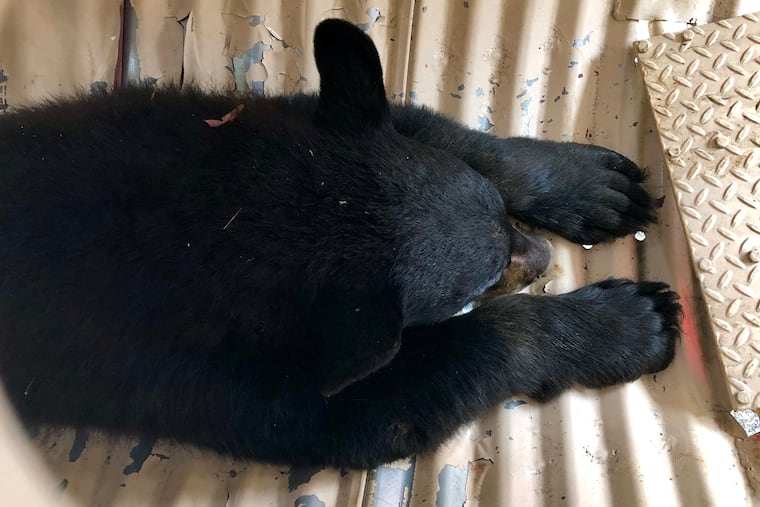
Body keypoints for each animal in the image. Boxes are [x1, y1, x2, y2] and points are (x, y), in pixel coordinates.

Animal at [0, 19, 681, 468]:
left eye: (498, 213)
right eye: (478, 286)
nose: (542, 259)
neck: (214, 212)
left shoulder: (199, 119)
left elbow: (430, 129)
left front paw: (593, 187)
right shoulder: (197, 363)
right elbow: (367, 412)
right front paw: (629, 321)